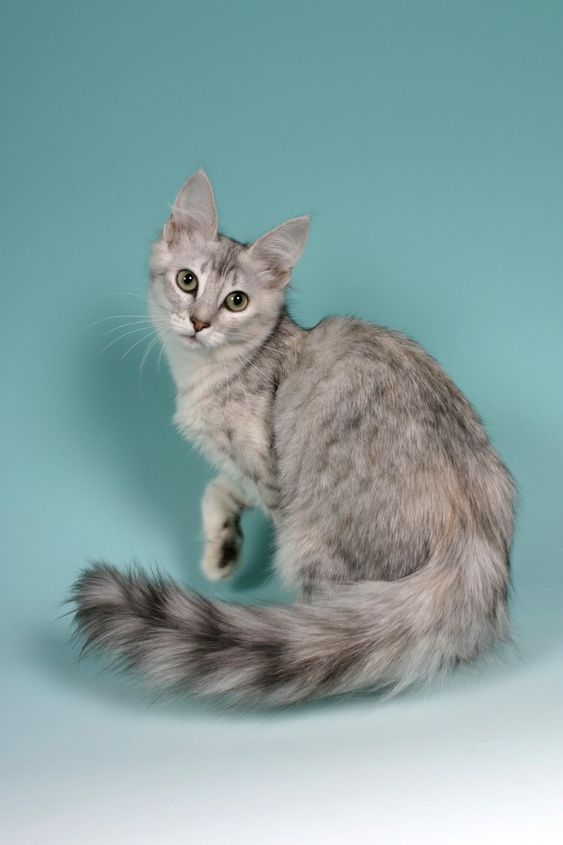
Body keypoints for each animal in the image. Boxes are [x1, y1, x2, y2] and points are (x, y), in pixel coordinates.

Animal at [72, 168, 516, 704]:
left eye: (236, 301)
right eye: (187, 280)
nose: (199, 322)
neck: (208, 375)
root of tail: (475, 543)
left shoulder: (270, 469)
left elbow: (243, 490)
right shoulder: (243, 468)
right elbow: (218, 488)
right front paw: (222, 550)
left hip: (312, 542)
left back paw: (309, 631)